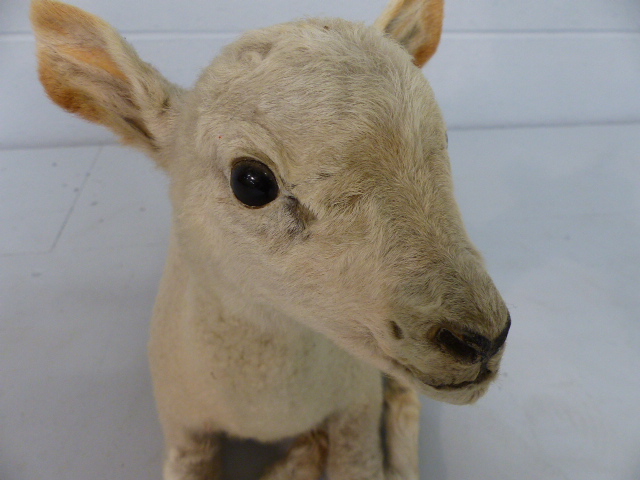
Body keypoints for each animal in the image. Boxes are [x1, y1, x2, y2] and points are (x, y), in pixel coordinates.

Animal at [30, 0, 512, 478]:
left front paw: (309, 452)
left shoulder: (356, 409)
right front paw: (304, 453)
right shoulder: (183, 427)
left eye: (443, 139)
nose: (482, 339)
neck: (267, 410)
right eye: (251, 182)